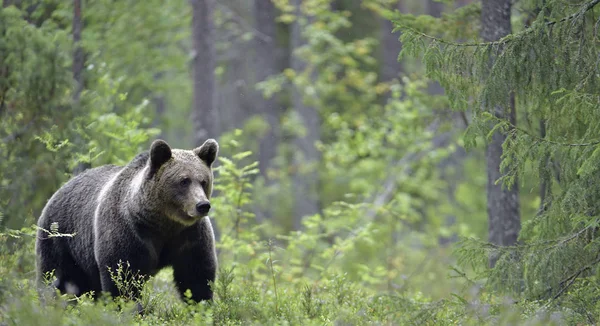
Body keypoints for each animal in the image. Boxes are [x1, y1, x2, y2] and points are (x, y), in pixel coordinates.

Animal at [35, 138, 219, 304]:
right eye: (183, 181)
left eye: (203, 181)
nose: (202, 205)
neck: (162, 222)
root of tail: (57, 191)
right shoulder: (128, 232)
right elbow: (122, 278)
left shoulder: (189, 236)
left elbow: (195, 275)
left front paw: (201, 305)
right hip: (61, 239)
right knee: (57, 278)